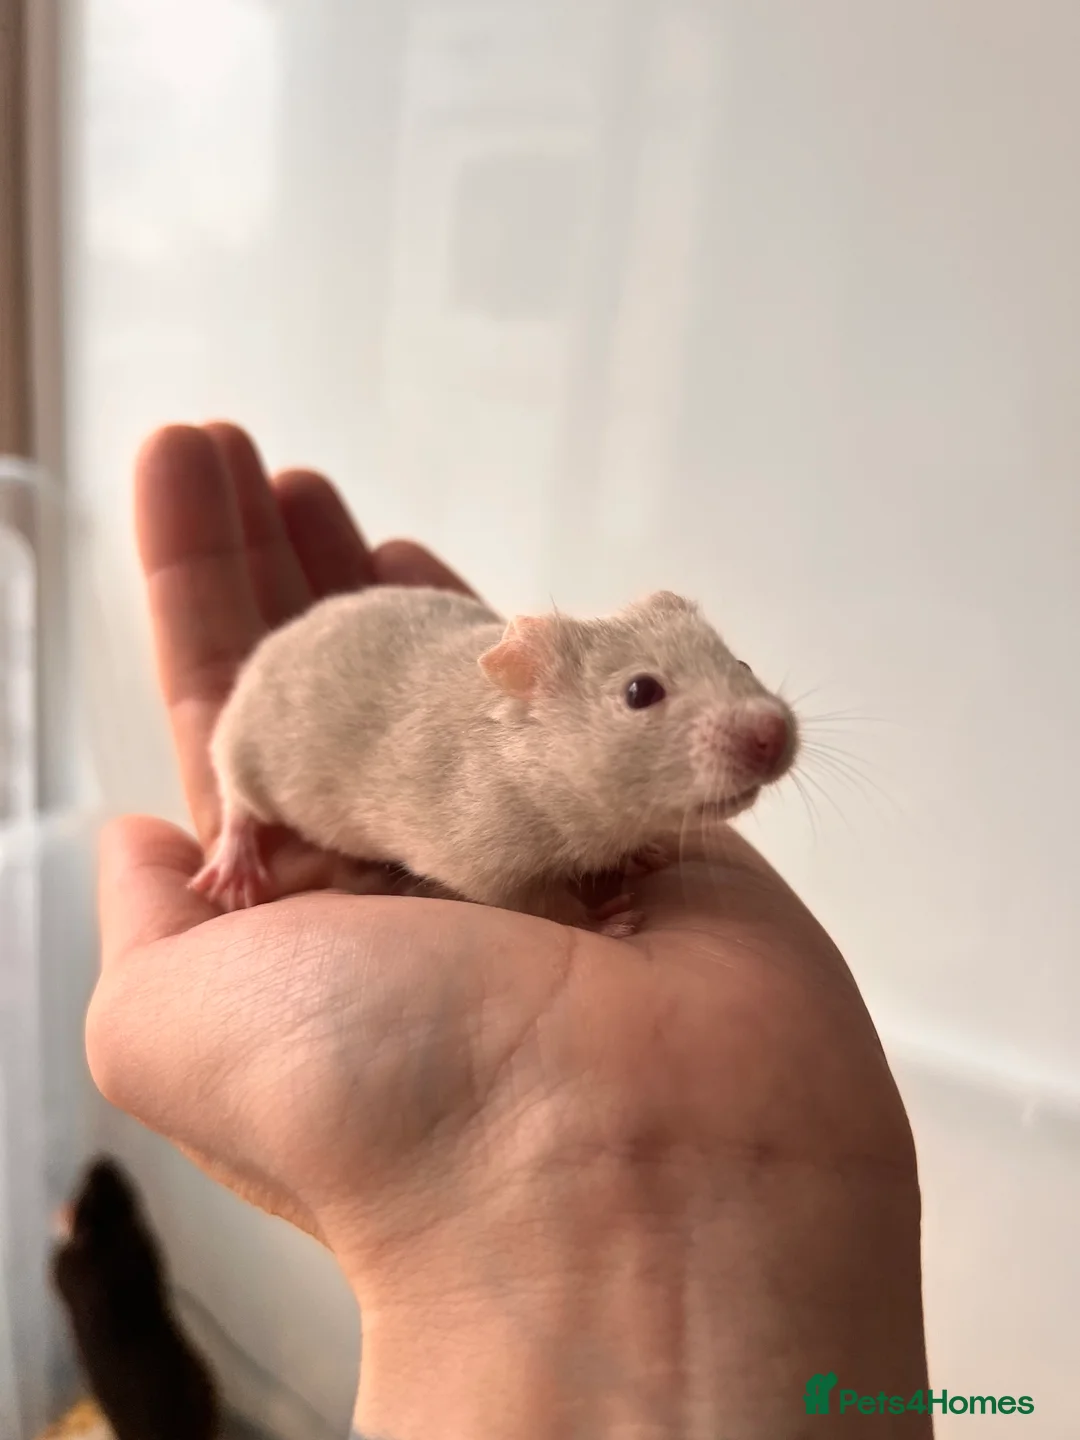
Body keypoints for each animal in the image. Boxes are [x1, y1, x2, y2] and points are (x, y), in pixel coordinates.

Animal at [51, 1157, 221, 1440]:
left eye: (89, 1192)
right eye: (131, 1189)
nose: (103, 1159)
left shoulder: (71, 1271)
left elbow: (58, 1271)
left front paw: (61, 1218)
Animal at [191, 585, 799, 934]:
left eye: (741, 665)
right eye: (640, 692)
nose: (774, 734)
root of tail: (275, 642)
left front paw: (642, 851)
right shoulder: (484, 849)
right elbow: (530, 899)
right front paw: (603, 921)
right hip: (246, 752)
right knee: (236, 800)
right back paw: (235, 861)